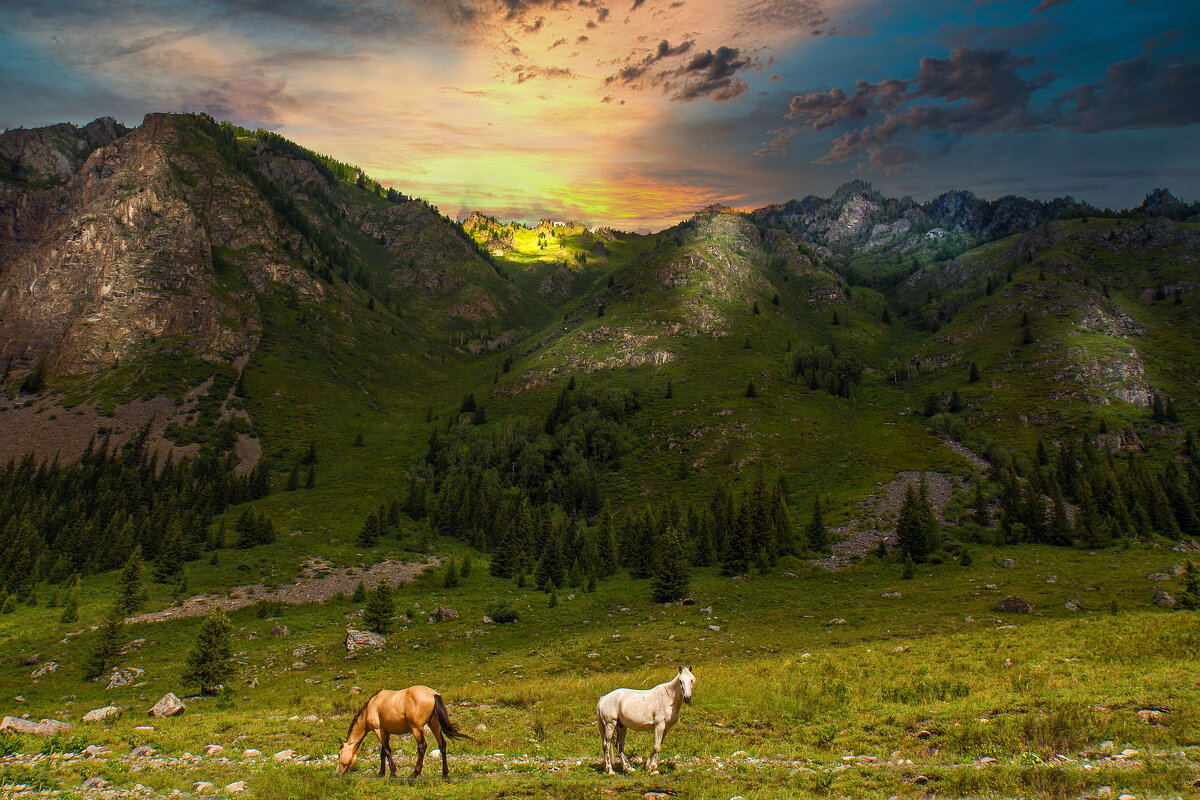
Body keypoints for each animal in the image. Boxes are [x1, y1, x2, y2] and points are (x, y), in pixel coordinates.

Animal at [338, 686, 472, 777]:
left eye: (339, 754)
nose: (337, 773)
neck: (372, 705)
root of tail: (434, 694)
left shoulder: (378, 729)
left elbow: (386, 750)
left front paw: (392, 773)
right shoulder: (386, 731)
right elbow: (382, 751)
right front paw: (381, 773)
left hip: (416, 728)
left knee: (422, 746)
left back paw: (414, 774)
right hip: (434, 724)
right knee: (442, 744)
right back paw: (444, 774)